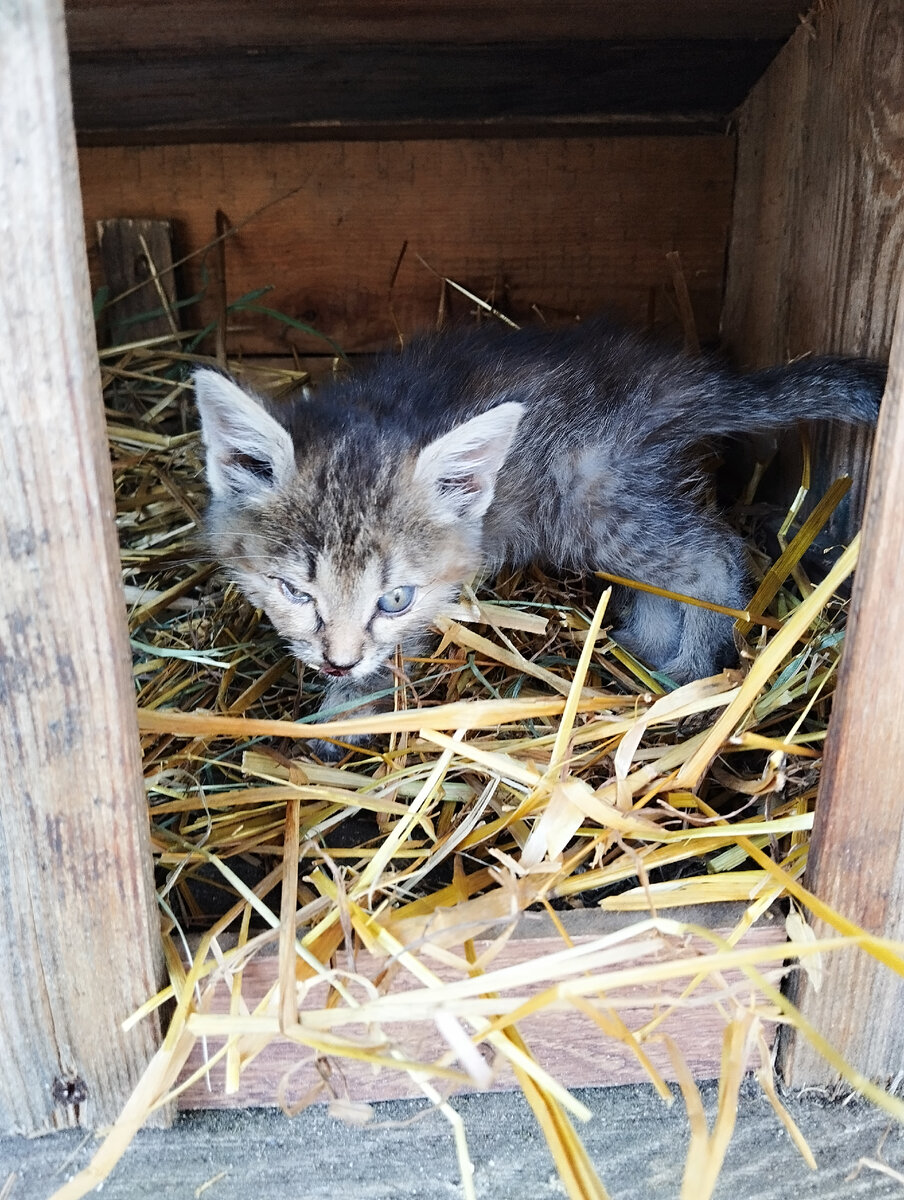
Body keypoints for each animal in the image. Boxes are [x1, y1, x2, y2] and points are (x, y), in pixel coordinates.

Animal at [192, 314, 883, 734]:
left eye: (393, 599)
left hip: (594, 502)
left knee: (713, 555)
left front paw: (346, 711)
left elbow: (395, 647)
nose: (335, 663)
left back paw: (689, 668)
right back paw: (649, 643)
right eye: (293, 591)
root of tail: (681, 380)